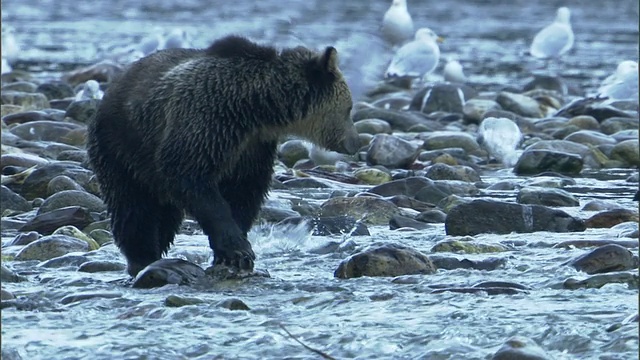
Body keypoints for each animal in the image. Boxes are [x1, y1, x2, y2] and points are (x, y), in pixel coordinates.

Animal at [86, 35, 360, 278]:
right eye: (349, 109)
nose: (355, 142)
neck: (254, 109)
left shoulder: (252, 148)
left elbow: (244, 193)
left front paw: (230, 253)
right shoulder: (204, 122)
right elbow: (192, 180)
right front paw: (238, 250)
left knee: (165, 215)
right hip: (121, 147)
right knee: (132, 208)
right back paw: (143, 258)